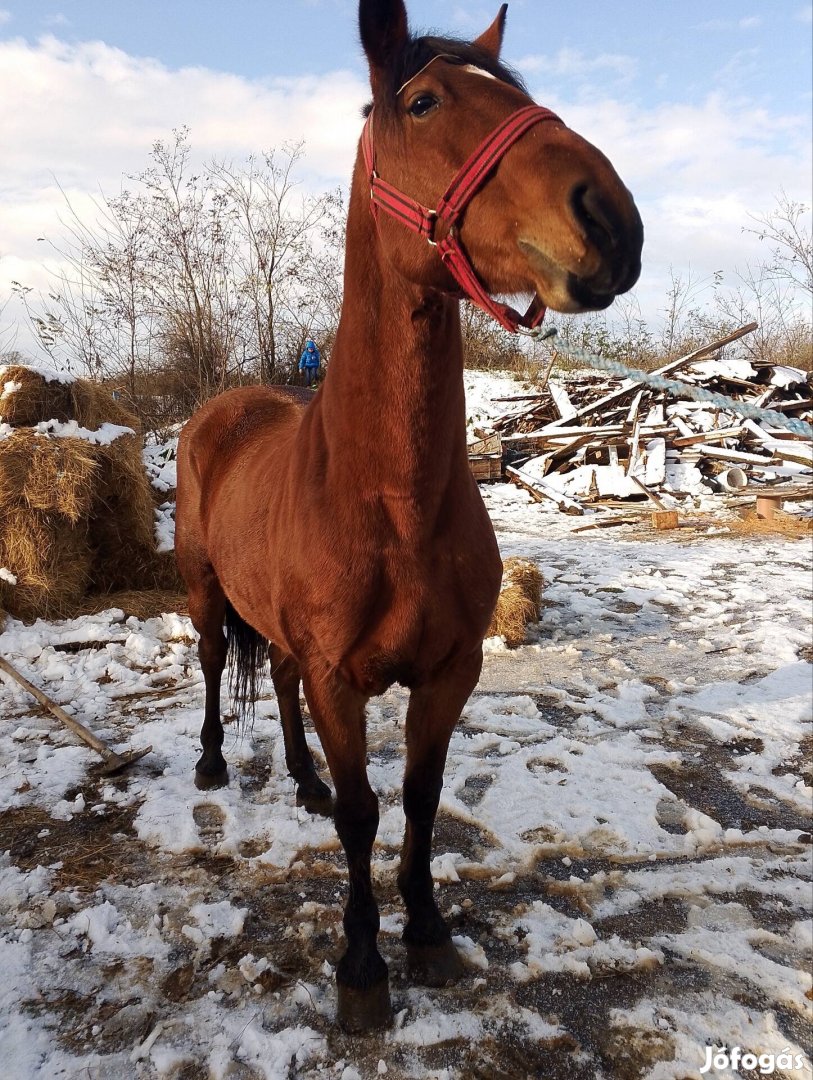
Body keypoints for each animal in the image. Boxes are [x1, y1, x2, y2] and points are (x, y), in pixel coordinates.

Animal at [174, 0, 643, 1032]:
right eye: (424, 103)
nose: (611, 220)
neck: (390, 503)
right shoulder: (341, 679)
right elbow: (364, 814)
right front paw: (361, 964)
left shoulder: (450, 671)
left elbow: (421, 798)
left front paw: (426, 929)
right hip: (203, 592)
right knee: (217, 667)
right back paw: (214, 766)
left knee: (275, 682)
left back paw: (300, 779)